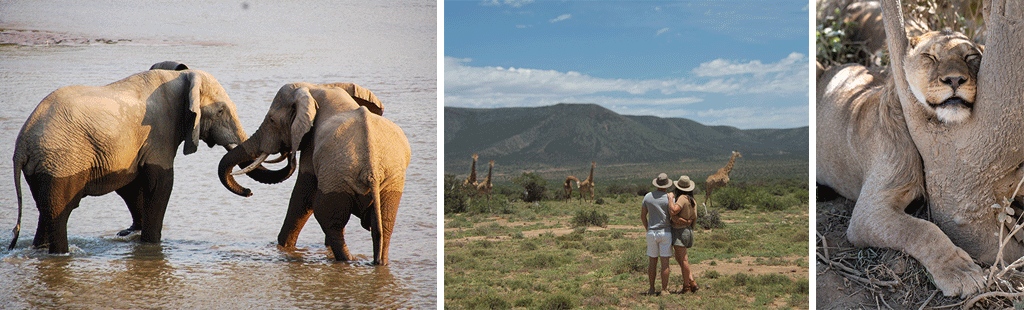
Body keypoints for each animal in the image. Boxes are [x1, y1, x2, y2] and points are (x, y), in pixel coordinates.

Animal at [9, 61, 250, 253]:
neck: (181, 76)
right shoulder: (159, 132)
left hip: (44, 163)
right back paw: (61, 254)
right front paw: (151, 245)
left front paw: (130, 235)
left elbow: (131, 184)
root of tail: (22, 143)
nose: (249, 192)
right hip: (61, 158)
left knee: (45, 209)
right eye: (220, 111)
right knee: (59, 211)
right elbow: (161, 184)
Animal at [218, 81, 409, 266]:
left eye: (272, 120)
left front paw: (283, 246)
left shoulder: (311, 145)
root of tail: (372, 171)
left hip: (339, 177)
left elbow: (303, 196)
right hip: (385, 182)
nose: (249, 192)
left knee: (328, 219)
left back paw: (349, 261)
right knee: (384, 225)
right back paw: (376, 263)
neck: (318, 89)